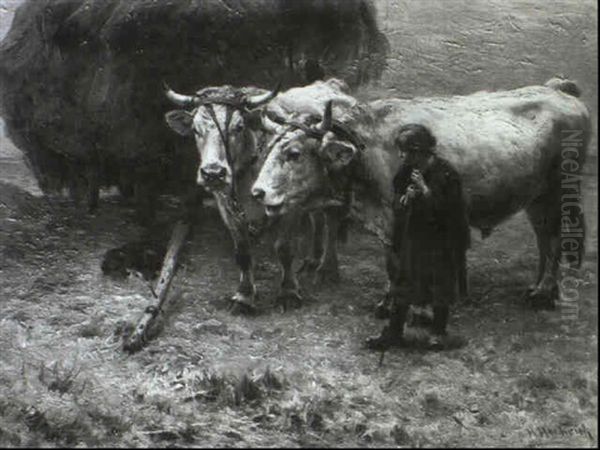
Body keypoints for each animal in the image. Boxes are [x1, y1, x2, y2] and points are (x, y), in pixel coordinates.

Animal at [163, 79, 356, 312]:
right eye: (195, 129)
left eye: (239, 127)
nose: (213, 173)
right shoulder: (226, 207)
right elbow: (243, 252)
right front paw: (244, 296)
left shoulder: (289, 205)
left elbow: (284, 248)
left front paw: (288, 292)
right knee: (317, 218)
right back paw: (312, 260)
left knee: (331, 221)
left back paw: (328, 269)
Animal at [252, 79, 592, 340]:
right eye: (268, 148)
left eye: (294, 153)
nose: (258, 192)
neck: (372, 146)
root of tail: (560, 90)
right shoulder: (389, 221)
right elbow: (391, 263)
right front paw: (389, 303)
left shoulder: (405, 218)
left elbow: (405, 263)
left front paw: (412, 308)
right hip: (537, 197)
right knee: (543, 238)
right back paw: (538, 287)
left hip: (558, 192)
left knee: (556, 240)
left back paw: (544, 293)